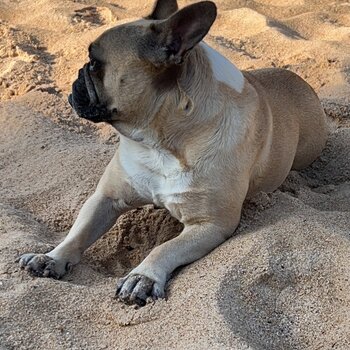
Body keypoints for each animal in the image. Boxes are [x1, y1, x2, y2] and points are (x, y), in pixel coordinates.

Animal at [19, 0, 330, 306]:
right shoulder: (105, 198)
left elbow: (166, 248)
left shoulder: (211, 224)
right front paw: (51, 257)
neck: (157, 142)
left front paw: (143, 277)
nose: (77, 77)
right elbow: (78, 232)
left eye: (95, 64)